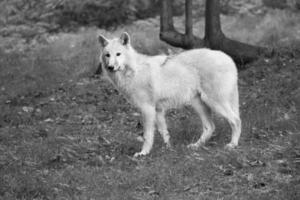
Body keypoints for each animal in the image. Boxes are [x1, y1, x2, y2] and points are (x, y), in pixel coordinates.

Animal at [98, 32, 241, 157]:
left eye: (118, 54)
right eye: (107, 55)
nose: (110, 67)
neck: (134, 71)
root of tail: (228, 58)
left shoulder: (147, 109)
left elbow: (147, 136)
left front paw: (143, 153)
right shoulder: (158, 110)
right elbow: (164, 132)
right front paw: (169, 149)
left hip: (214, 102)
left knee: (236, 120)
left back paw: (232, 145)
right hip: (198, 104)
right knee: (210, 127)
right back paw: (195, 146)